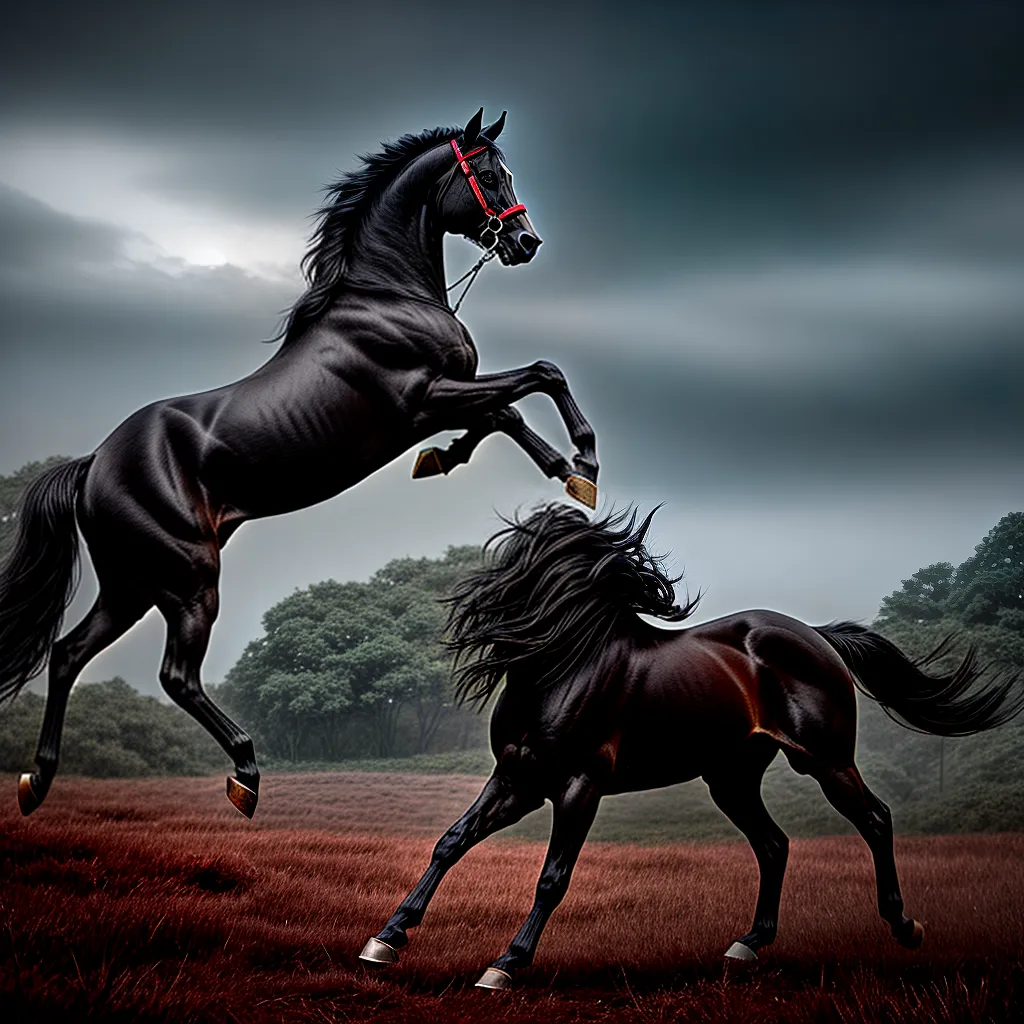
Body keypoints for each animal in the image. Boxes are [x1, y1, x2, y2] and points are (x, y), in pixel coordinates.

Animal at [0, 109, 600, 820]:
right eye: (486, 171)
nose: (524, 241)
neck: (387, 297)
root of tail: (93, 466)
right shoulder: (425, 398)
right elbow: (539, 377)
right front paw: (585, 461)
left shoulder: (441, 402)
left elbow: (503, 416)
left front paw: (506, 466)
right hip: (187, 577)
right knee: (175, 676)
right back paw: (245, 775)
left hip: (132, 582)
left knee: (66, 655)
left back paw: (37, 781)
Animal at [360, 503, 1024, 989]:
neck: (564, 667)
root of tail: (817, 637)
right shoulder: (518, 780)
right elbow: (451, 842)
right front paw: (386, 940)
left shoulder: (578, 785)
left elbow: (553, 876)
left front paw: (506, 963)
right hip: (731, 778)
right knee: (775, 844)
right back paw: (748, 945)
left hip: (826, 761)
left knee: (875, 819)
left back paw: (905, 926)